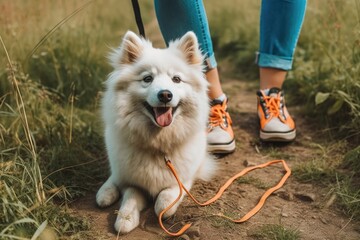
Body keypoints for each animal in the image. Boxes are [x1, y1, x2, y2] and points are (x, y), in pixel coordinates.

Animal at [95, 31, 215, 233]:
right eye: (147, 79)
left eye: (176, 79)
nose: (165, 94)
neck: (158, 144)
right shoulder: (133, 181)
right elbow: (130, 197)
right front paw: (125, 218)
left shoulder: (184, 177)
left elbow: (166, 197)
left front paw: (164, 207)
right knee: (115, 177)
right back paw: (105, 192)